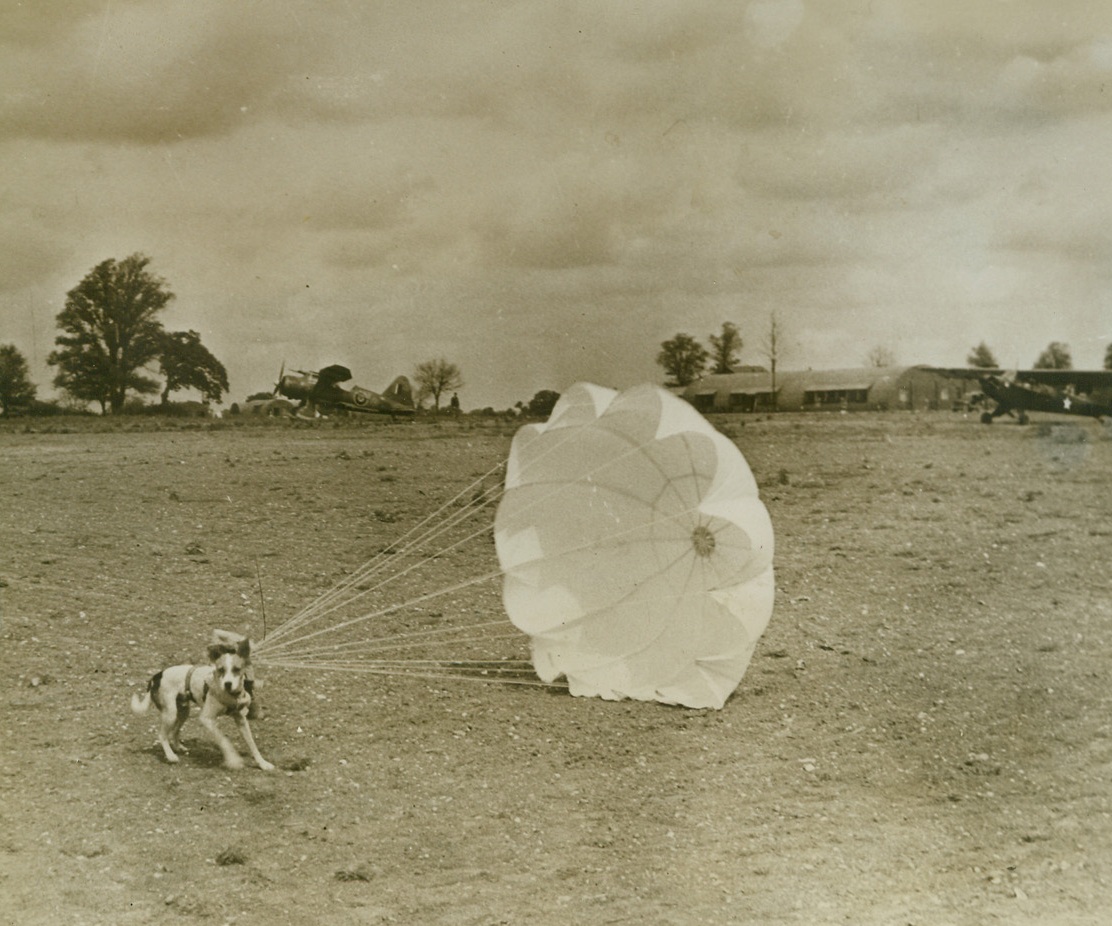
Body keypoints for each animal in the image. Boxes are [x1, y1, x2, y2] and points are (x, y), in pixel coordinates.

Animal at [130, 631, 275, 769]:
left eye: (236, 669)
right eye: (221, 670)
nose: (227, 684)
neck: (229, 694)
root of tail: (157, 676)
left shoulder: (241, 720)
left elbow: (252, 744)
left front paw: (263, 763)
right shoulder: (207, 719)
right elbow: (223, 740)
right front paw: (233, 760)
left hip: (183, 712)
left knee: (174, 732)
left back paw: (178, 747)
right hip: (170, 714)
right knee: (162, 735)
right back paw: (171, 755)